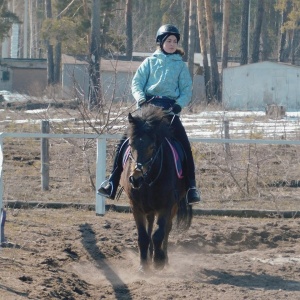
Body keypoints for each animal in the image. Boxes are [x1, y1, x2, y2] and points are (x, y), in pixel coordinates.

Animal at [119, 105, 192, 272]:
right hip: (149, 208)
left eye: (152, 147)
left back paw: (163, 258)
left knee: (166, 230)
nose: (135, 178)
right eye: (131, 144)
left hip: (173, 206)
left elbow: (159, 234)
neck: (148, 180)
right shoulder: (136, 206)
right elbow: (143, 236)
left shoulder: (166, 205)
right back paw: (150, 256)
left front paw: (159, 261)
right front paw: (143, 265)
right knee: (151, 225)